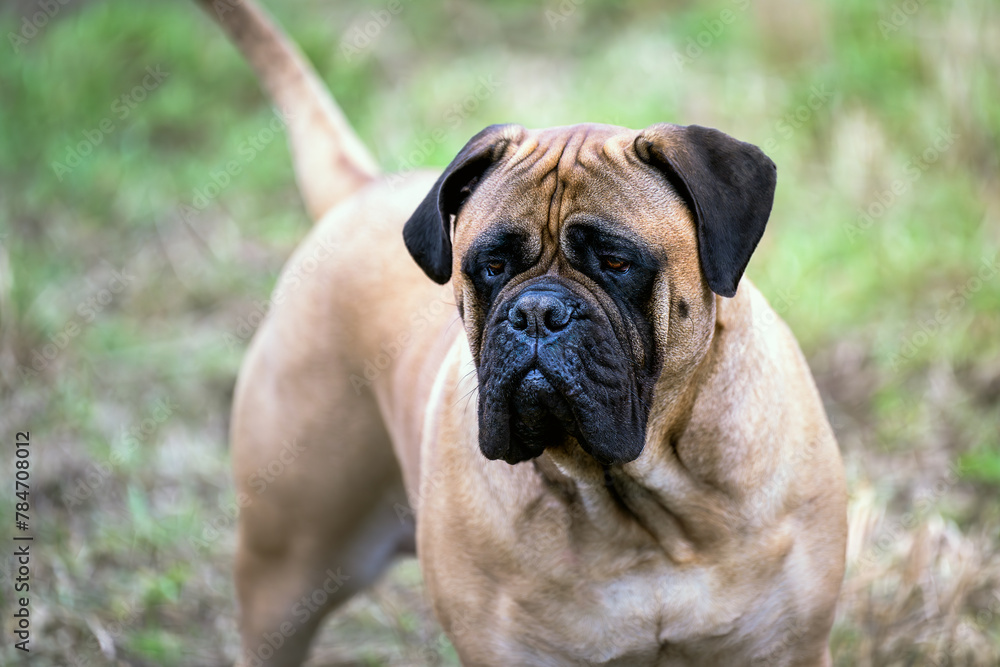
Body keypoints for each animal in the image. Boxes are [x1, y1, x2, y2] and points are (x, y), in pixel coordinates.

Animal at [199, 0, 848, 664]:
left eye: (615, 262)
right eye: (492, 266)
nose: (536, 312)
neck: (636, 506)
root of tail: (359, 191)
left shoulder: (789, 646)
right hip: (284, 573)